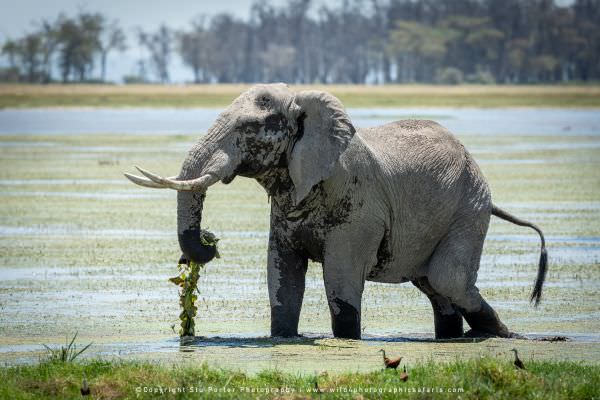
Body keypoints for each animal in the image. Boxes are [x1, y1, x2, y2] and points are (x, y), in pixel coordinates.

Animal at [126, 83, 548, 340]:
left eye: (250, 127)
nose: (209, 243)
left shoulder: (358, 211)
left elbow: (341, 285)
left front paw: (346, 339)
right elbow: (282, 281)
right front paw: (284, 337)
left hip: (469, 205)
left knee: (449, 281)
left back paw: (500, 336)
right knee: (437, 289)